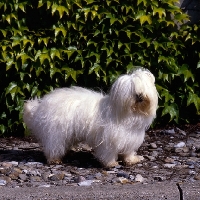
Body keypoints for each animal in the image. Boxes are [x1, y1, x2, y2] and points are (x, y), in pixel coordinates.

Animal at [23, 68, 158, 166]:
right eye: (131, 89)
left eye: (144, 87)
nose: (139, 95)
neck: (129, 114)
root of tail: (42, 104)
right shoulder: (108, 140)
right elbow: (108, 153)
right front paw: (111, 163)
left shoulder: (130, 138)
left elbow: (128, 151)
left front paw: (131, 160)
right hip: (56, 133)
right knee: (53, 146)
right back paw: (54, 159)